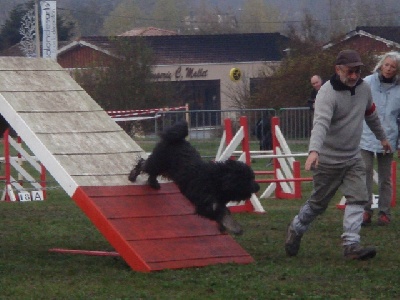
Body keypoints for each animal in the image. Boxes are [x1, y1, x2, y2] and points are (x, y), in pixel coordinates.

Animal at [127, 120, 260, 236]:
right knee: (143, 164)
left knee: (151, 171)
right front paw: (234, 228)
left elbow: (224, 213)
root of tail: (176, 139)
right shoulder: (203, 204)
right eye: (247, 179)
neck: (215, 180)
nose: (257, 187)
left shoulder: (216, 203)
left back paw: (153, 183)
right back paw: (133, 176)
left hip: (165, 168)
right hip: (158, 162)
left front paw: (225, 226)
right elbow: (221, 214)